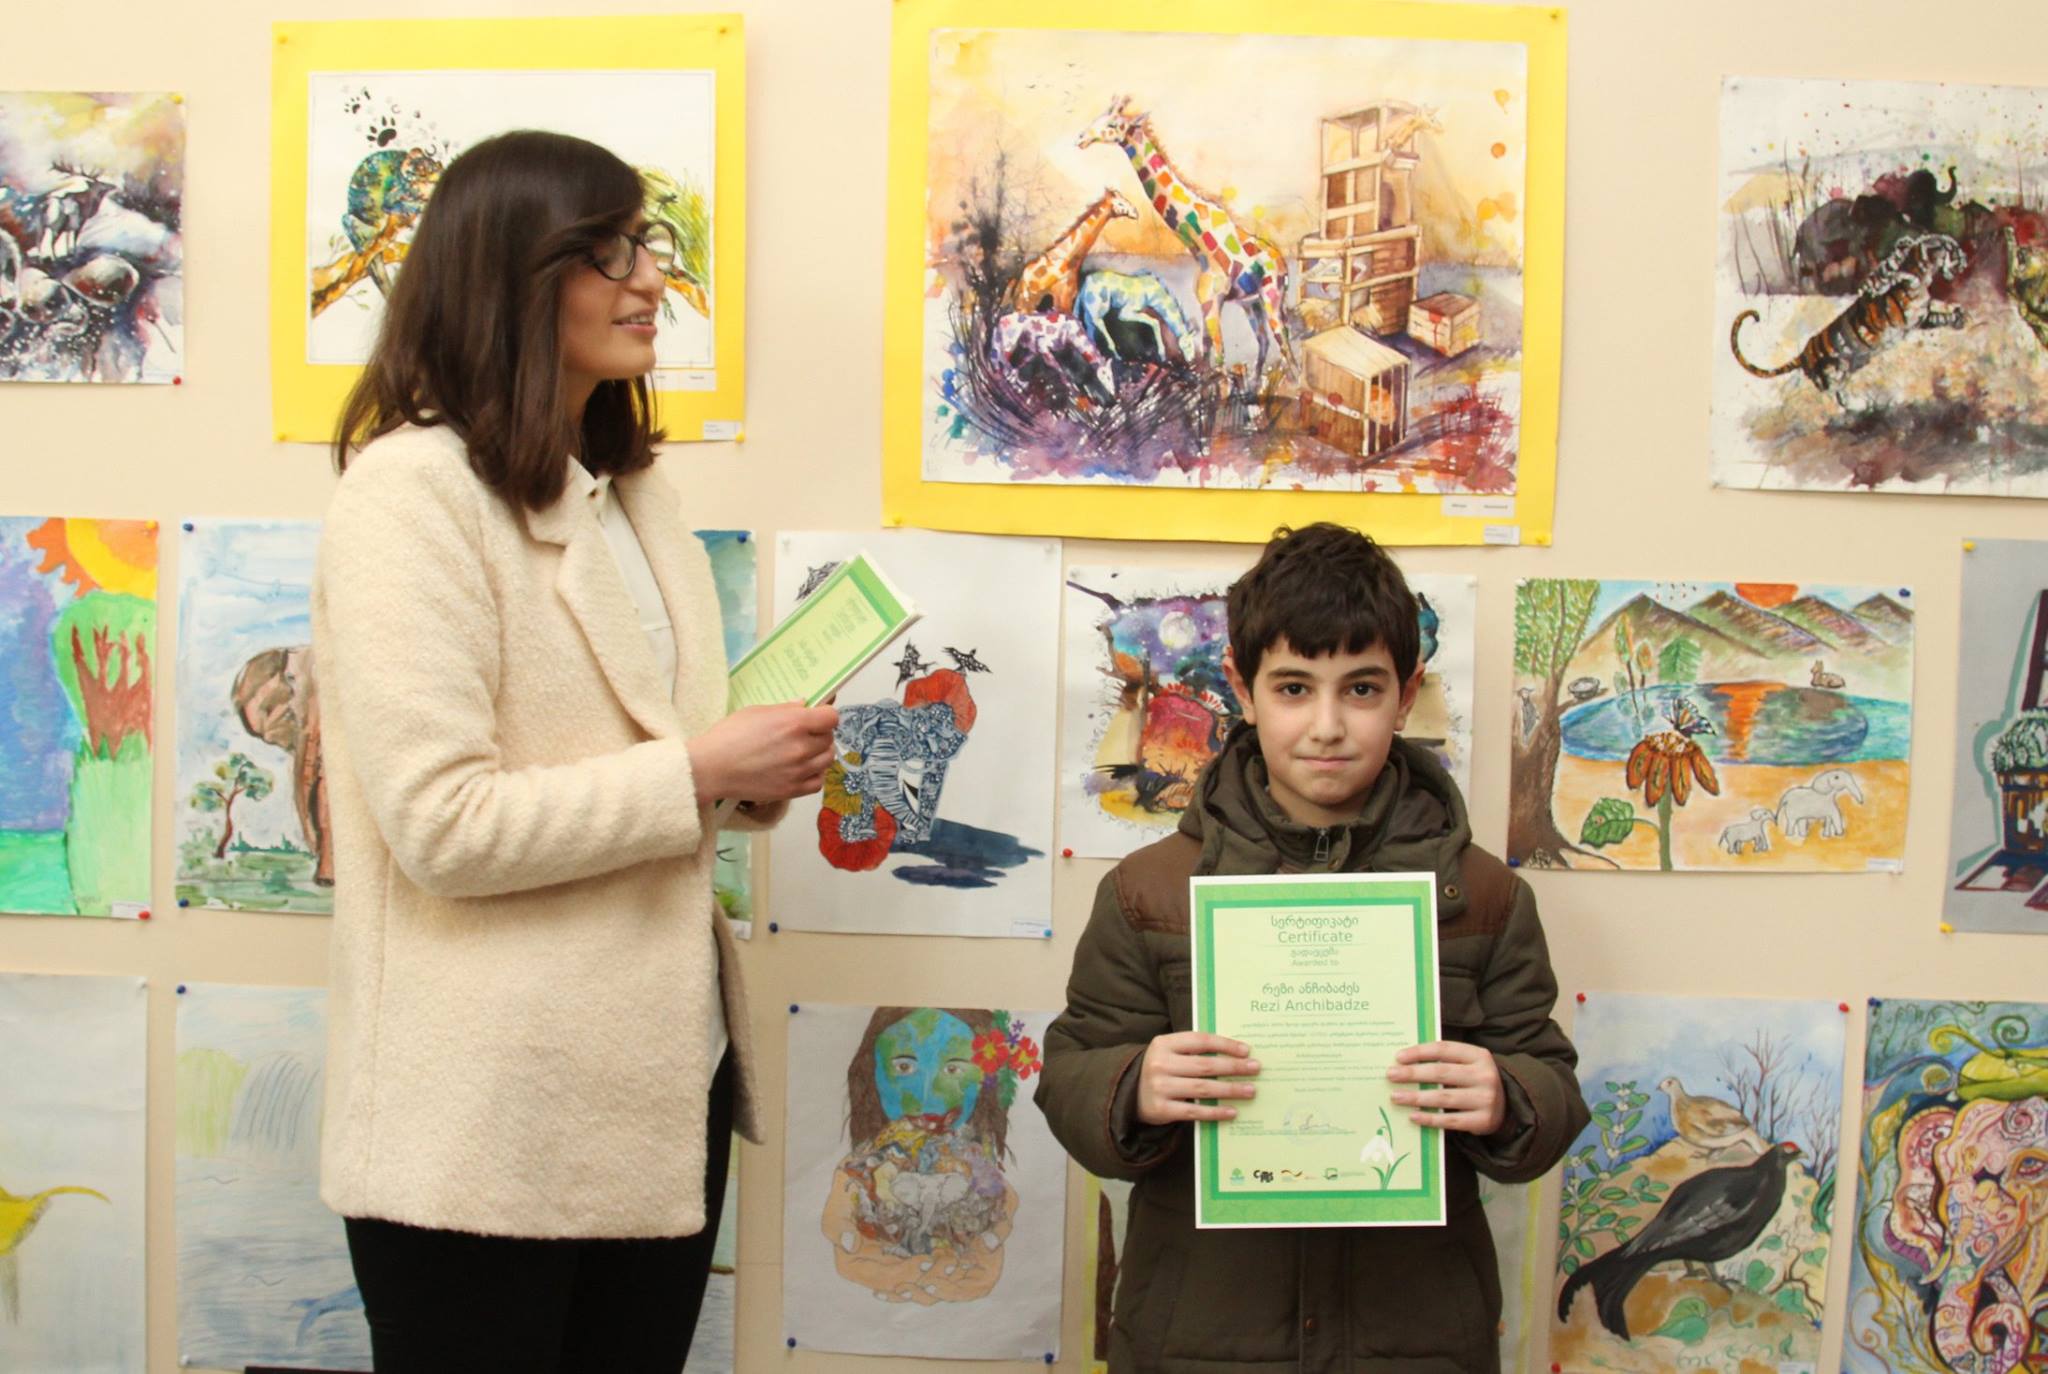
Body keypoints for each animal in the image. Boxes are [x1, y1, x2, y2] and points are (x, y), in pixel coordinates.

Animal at [1008, 187, 1138, 315]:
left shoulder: (1068, 300)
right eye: (1120, 203)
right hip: (1025, 304)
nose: (1136, 212)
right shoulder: (1062, 301)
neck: (1068, 261)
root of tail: (1018, 281)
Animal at [1078, 96, 1298, 380]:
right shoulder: (1206, 303)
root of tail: (1282, 263)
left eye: (1113, 124)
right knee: (1264, 341)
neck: (1198, 241)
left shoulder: (1212, 302)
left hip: (1272, 297)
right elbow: (1205, 355)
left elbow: (1218, 360)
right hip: (1252, 303)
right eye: (1098, 118)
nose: (1081, 138)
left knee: (1286, 348)